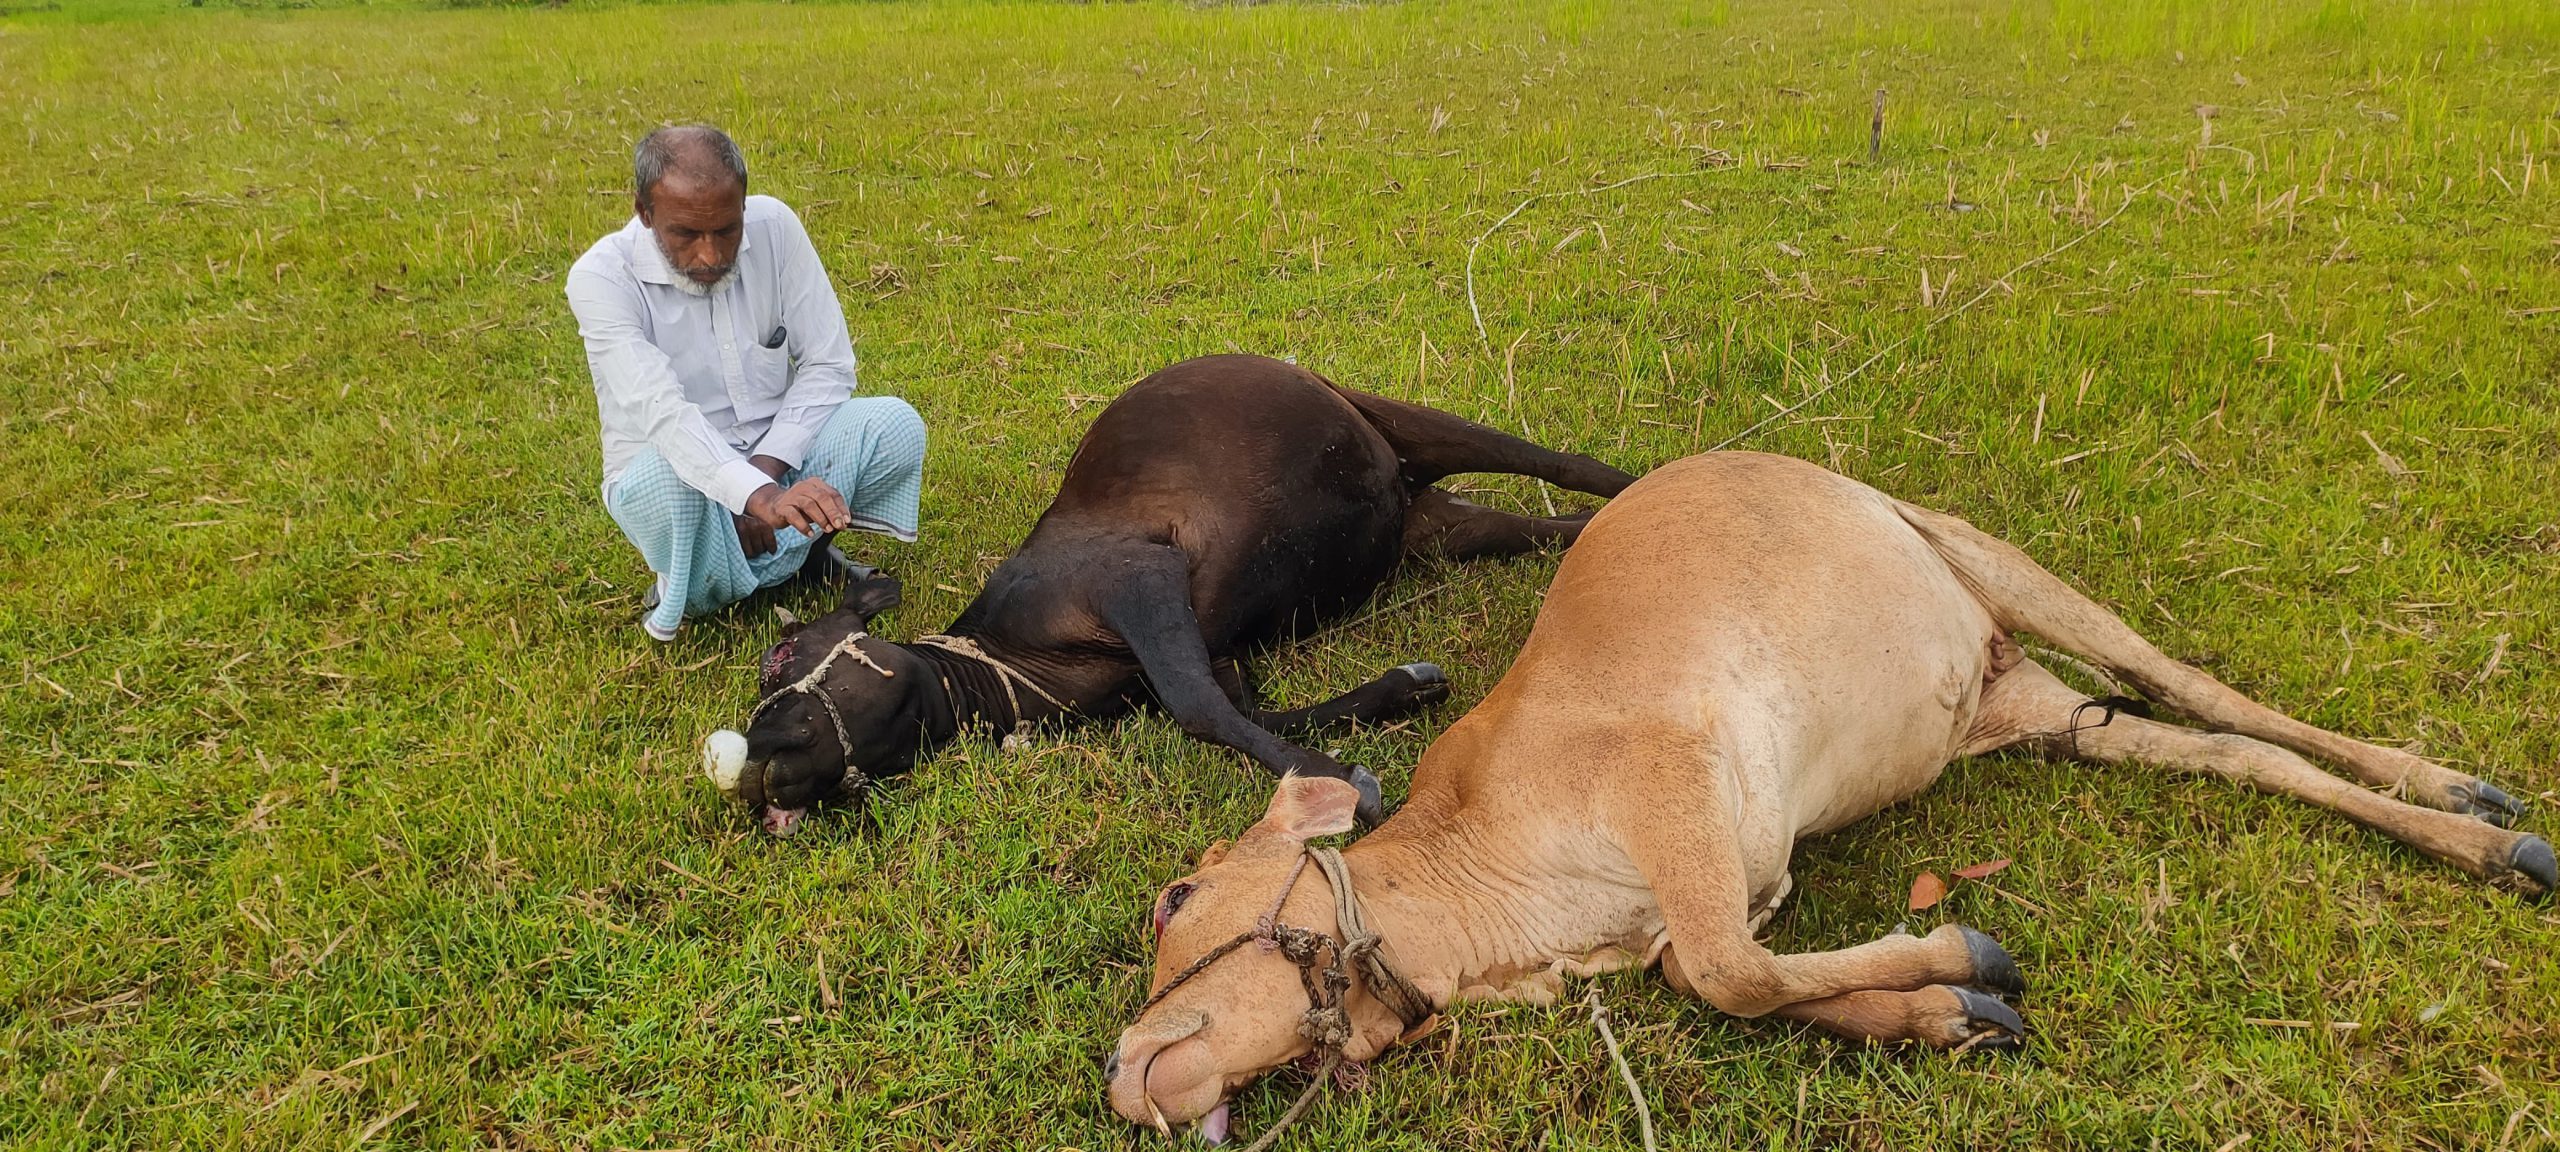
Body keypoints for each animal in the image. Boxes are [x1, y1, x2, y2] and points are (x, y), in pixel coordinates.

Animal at [1111, 450, 2549, 1141]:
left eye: (1177, 897)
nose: (1125, 1072)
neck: (1492, 903)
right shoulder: (1685, 909)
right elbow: (1735, 978)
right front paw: (1945, 1015)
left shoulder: (1676, 777)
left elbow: (1732, 973)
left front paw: (1965, 951)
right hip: (2036, 714)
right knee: (2216, 751)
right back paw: (2478, 833)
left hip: (1980, 552)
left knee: (2203, 689)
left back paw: (2472, 811)